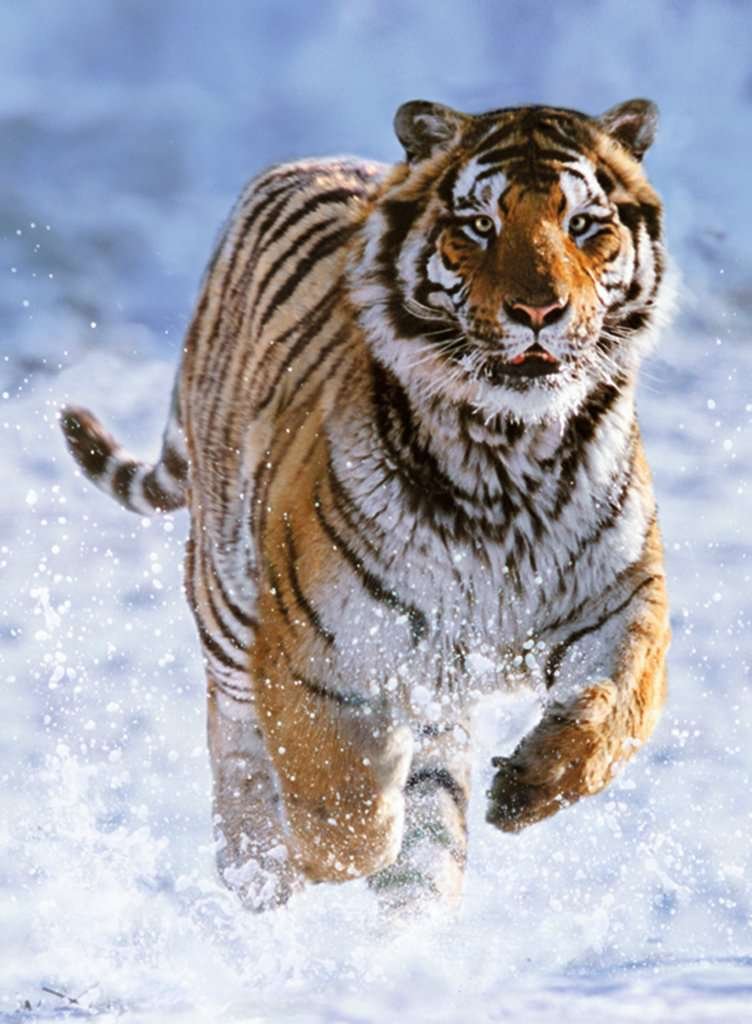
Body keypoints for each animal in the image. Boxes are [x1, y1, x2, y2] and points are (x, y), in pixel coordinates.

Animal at [61, 97, 671, 915]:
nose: (540, 310)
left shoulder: (623, 598)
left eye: (582, 224)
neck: (506, 453)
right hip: (226, 603)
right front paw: (311, 851)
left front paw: (529, 787)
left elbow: (618, 707)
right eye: (480, 225)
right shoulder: (312, 649)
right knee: (236, 743)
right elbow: (344, 814)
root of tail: (304, 162)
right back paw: (257, 871)